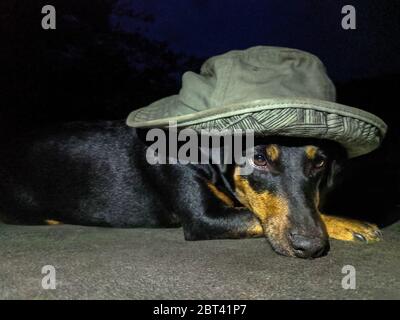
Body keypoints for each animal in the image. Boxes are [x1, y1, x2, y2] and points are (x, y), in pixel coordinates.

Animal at [0, 120, 382, 258]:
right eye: (258, 157)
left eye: (319, 163)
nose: (311, 248)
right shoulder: (205, 218)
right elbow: (253, 216)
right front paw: (349, 223)